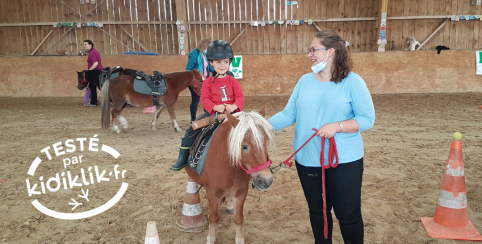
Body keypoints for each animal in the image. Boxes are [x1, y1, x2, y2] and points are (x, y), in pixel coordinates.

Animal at [185, 108, 274, 244]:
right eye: (244, 146)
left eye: (266, 142)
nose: (266, 181)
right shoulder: (213, 193)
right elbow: (213, 217)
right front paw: (210, 238)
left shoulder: (241, 192)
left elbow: (238, 218)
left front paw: (239, 239)